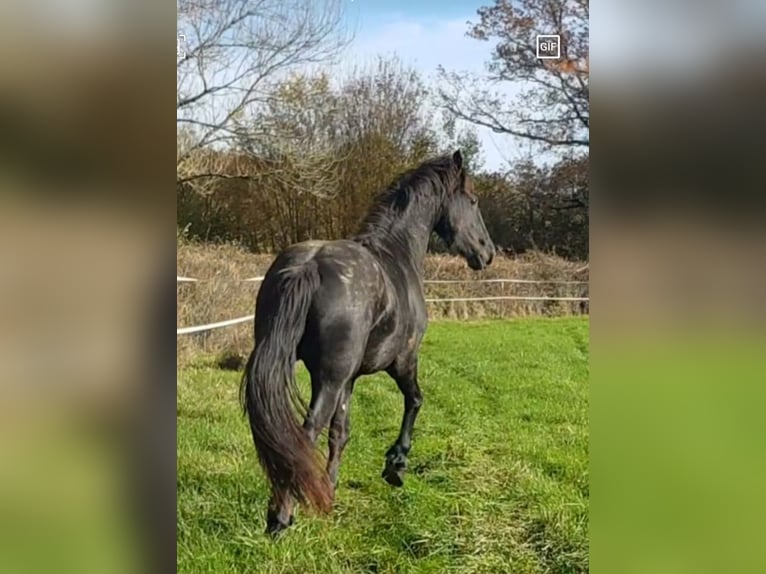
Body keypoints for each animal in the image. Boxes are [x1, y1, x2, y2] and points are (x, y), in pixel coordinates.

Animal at [240, 150, 495, 535]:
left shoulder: (350, 379)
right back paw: (281, 519)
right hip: (329, 380)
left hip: (316, 374)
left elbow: (341, 433)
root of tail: (308, 267)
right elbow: (415, 400)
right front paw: (396, 464)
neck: (397, 254)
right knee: (306, 432)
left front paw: (329, 490)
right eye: (474, 200)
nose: (488, 253)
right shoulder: (402, 361)